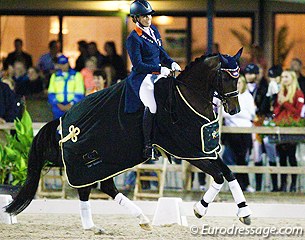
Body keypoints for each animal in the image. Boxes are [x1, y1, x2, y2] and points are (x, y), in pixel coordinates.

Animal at [4, 47, 251, 234]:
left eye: (238, 77)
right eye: (226, 77)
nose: (235, 109)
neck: (186, 98)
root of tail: (65, 120)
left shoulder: (205, 150)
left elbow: (229, 173)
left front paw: (244, 212)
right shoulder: (189, 152)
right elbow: (218, 176)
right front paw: (200, 209)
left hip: (108, 162)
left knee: (105, 187)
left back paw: (135, 220)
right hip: (91, 163)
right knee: (88, 189)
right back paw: (97, 226)